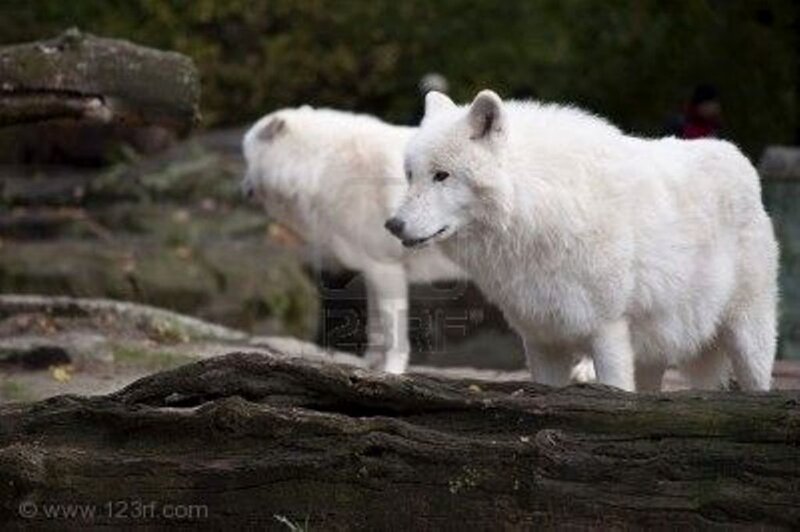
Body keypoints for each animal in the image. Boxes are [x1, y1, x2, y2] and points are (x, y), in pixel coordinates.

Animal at [242, 106, 463, 374]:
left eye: (246, 159)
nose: (242, 189)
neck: (319, 167)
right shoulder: (372, 271)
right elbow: (376, 329)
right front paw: (370, 366)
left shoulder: (386, 269)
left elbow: (393, 332)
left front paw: (392, 371)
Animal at [387, 90, 778, 391]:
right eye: (410, 175)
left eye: (442, 176)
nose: (393, 224)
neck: (539, 209)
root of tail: (739, 158)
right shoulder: (542, 342)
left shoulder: (608, 333)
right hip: (660, 353)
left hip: (749, 339)